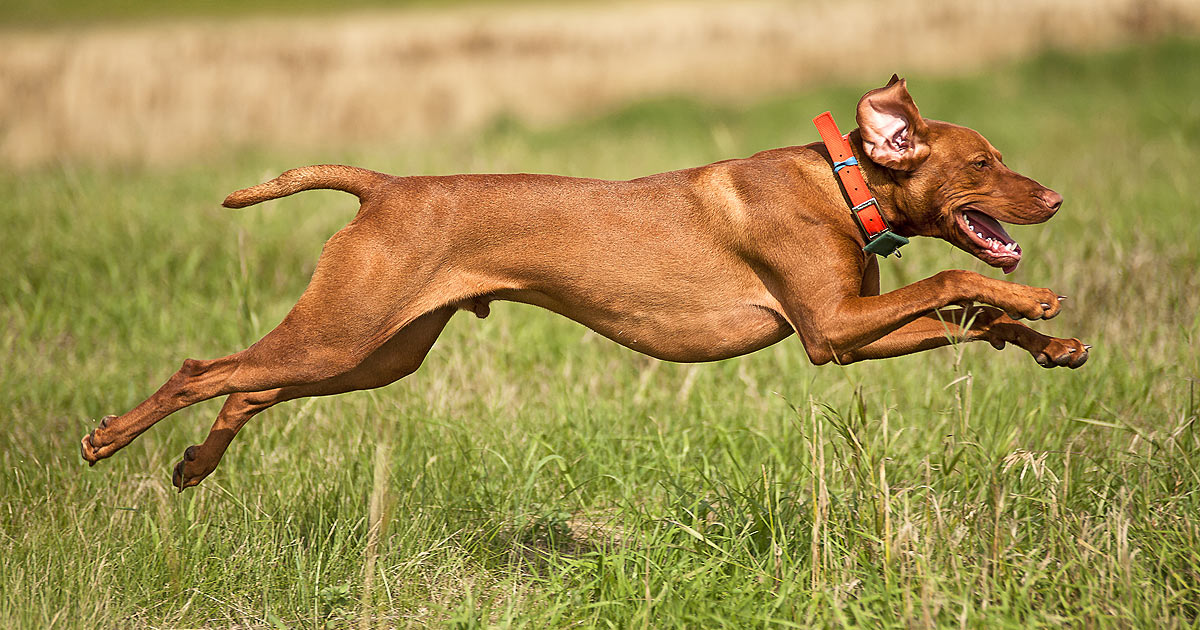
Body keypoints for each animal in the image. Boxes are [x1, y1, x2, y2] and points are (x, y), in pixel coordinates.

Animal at [75, 77, 1089, 492]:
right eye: (985, 162)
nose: (1056, 196)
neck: (842, 184)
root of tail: (387, 185)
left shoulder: (845, 336)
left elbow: (969, 312)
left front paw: (1054, 342)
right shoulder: (832, 325)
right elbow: (958, 274)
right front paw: (1038, 301)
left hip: (374, 353)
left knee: (249, 388)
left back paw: (195, 466)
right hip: (345, 332)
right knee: (205, 370)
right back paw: (107, 438)